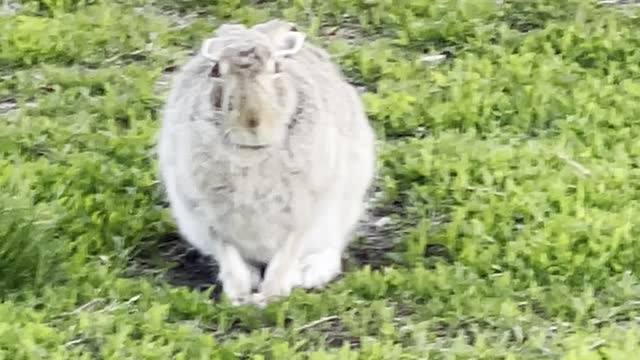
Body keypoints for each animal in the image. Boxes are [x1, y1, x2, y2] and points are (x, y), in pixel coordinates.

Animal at [156, 19, 376, 306]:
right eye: (215, 71)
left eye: (277, 68)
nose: (252, 121)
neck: (252, 152)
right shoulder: (205, 212)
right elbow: (227, 252)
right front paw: (240, 297)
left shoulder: (305, 210)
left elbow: (286, 254)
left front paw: (270, 296)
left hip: (342, 209)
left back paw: (310, 273)